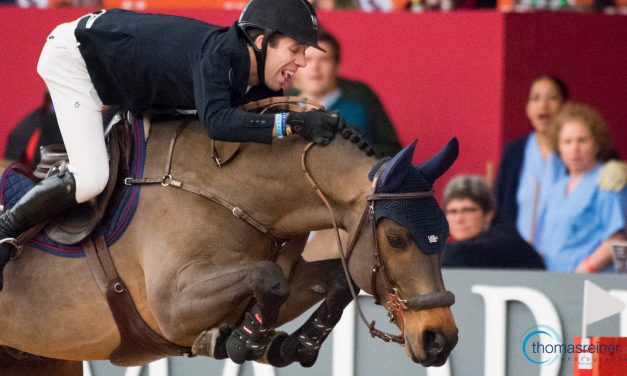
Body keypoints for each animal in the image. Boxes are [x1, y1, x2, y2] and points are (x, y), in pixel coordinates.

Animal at [0, 113, 458, 374]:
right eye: (396, 239)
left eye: (446, 234)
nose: (442, 340)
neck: (231, 193)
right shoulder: (170, 308)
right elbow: (269, 277)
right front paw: (238, 341)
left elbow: (334, 280)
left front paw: (295, 344)